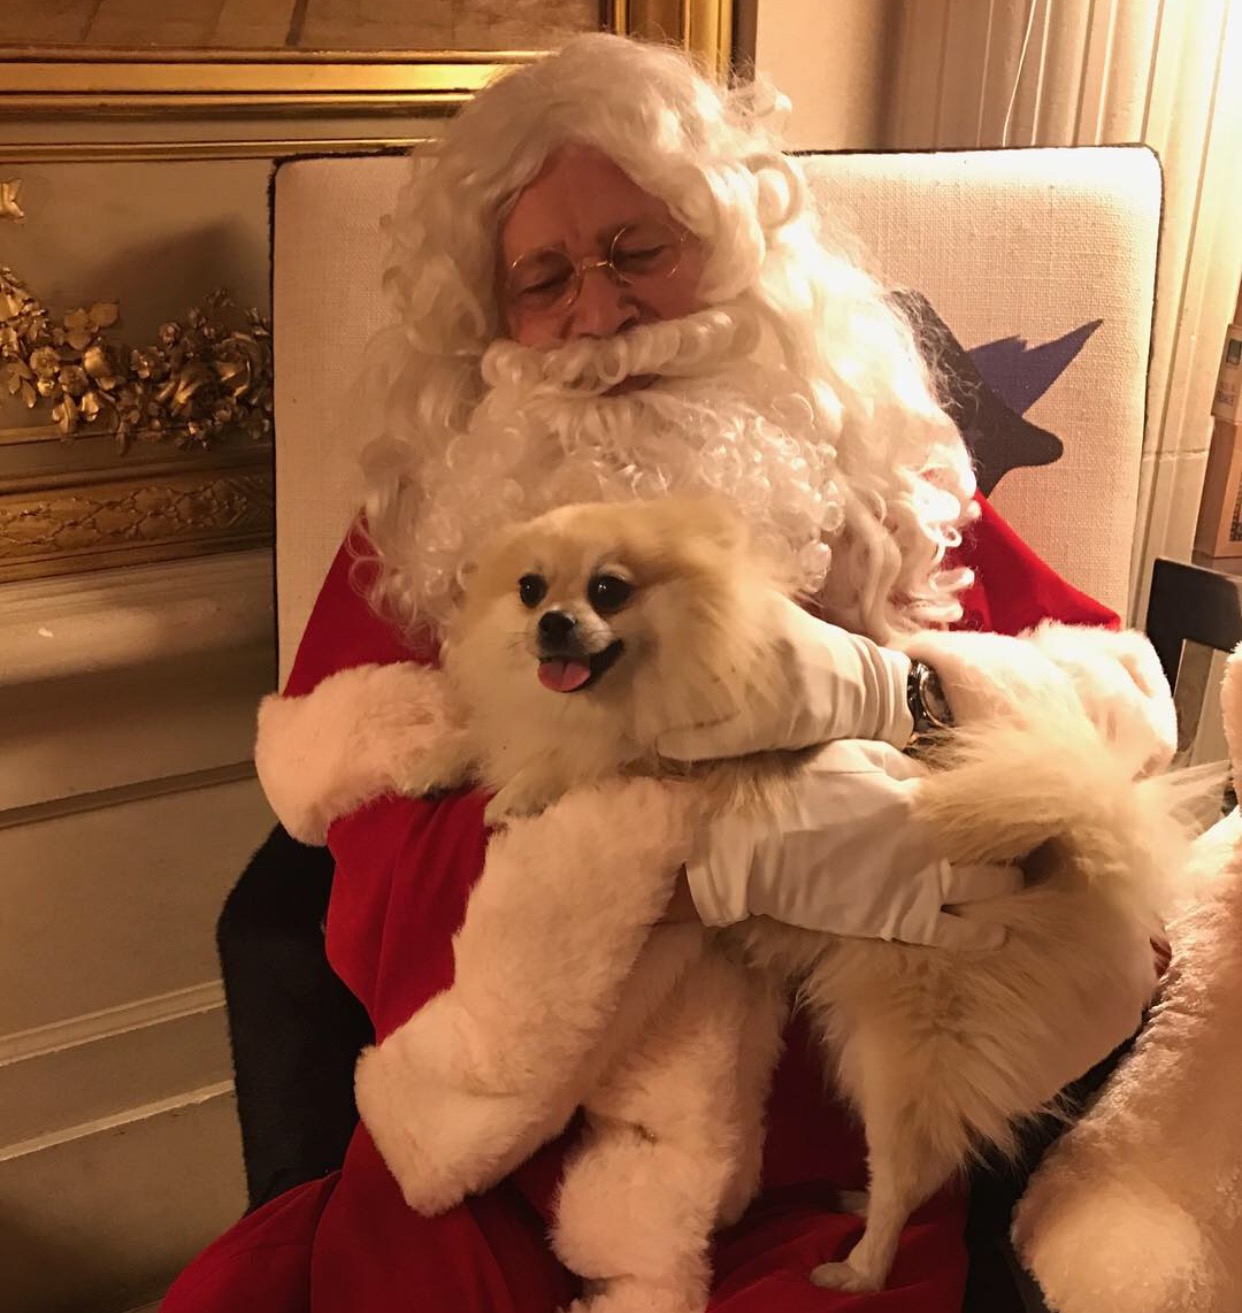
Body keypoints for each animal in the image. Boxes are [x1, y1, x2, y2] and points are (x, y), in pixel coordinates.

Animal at [388, 495, 1188, 1306]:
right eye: (529, 589)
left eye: (609, 590)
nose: (553, 622)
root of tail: (1069, 877)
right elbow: (492, 737)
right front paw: (439, 762)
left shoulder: (666, 759)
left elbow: (591, 764)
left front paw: (522, 791)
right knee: (929, 1160)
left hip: (898, 1047)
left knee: (907, 1171)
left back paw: (861, 1266)